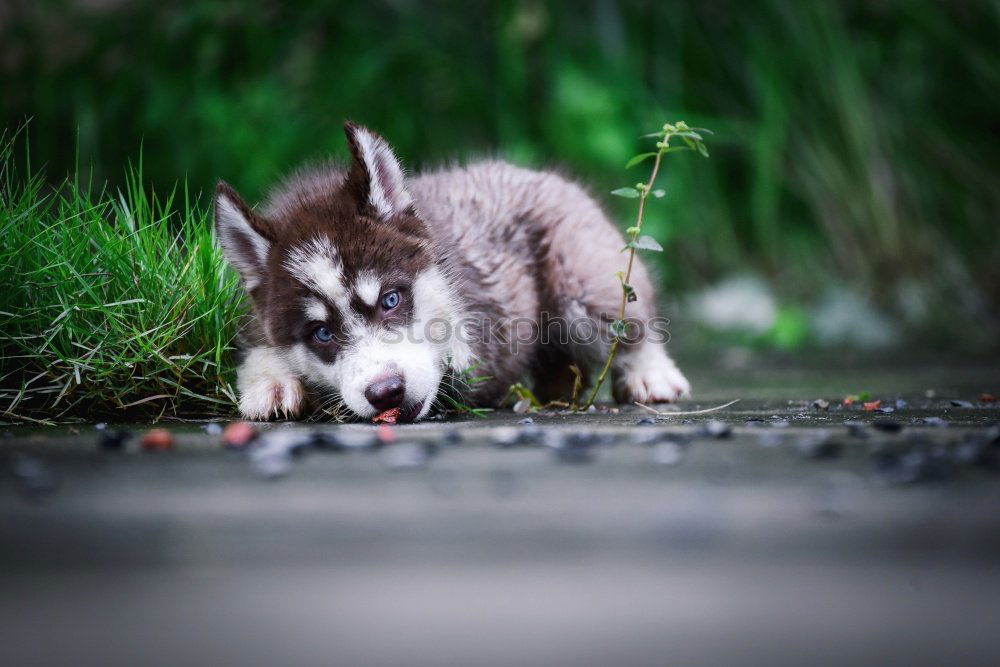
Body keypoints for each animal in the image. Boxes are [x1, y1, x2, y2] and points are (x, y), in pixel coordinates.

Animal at [218, 122, 688, 420]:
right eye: (321, 333)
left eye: (391, 300)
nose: (386, 392)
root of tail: (540, 174)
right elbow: (259, 347)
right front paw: (269, 381)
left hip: (582, 278)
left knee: (630, 322)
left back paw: (651, 372)